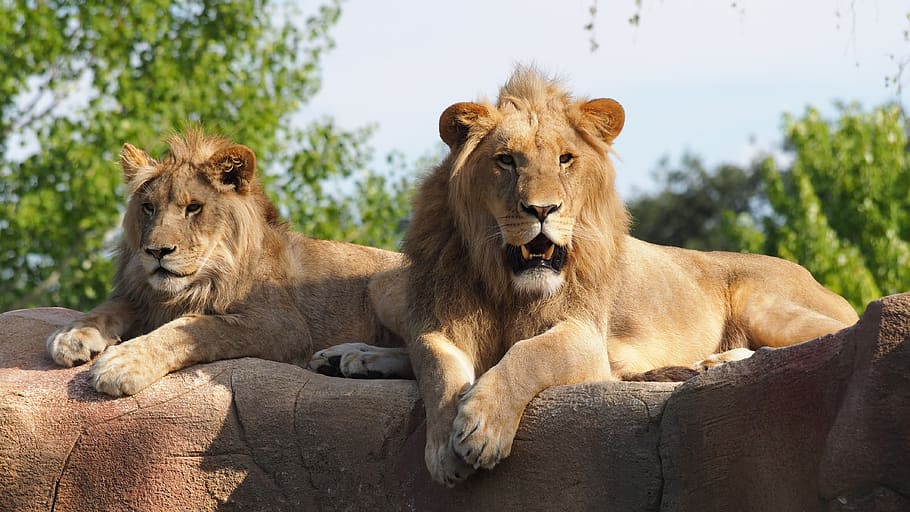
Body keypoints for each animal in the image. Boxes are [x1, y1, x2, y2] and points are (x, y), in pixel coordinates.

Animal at [46, 129, 411, 397]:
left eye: (193, 208)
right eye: (148, 208)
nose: (157, 252)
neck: (201, 278)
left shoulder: (283, 326)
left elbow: (196, 327)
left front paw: (122, 363)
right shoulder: (143, 297)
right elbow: (108, 308)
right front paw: (73, 335)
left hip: (384, 284)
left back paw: (363, 360)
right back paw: (339, 358)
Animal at [397, 67, 859, 486]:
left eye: (565, 159)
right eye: (506, 160)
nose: (543, 210)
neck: (504, 284)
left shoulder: (585, 337)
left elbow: (531, 354)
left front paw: (483, 427)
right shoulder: (440, 325)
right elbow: (435, 365)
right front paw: (443, 448)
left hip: (760, 302)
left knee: (828, 337)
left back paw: (715, 362)